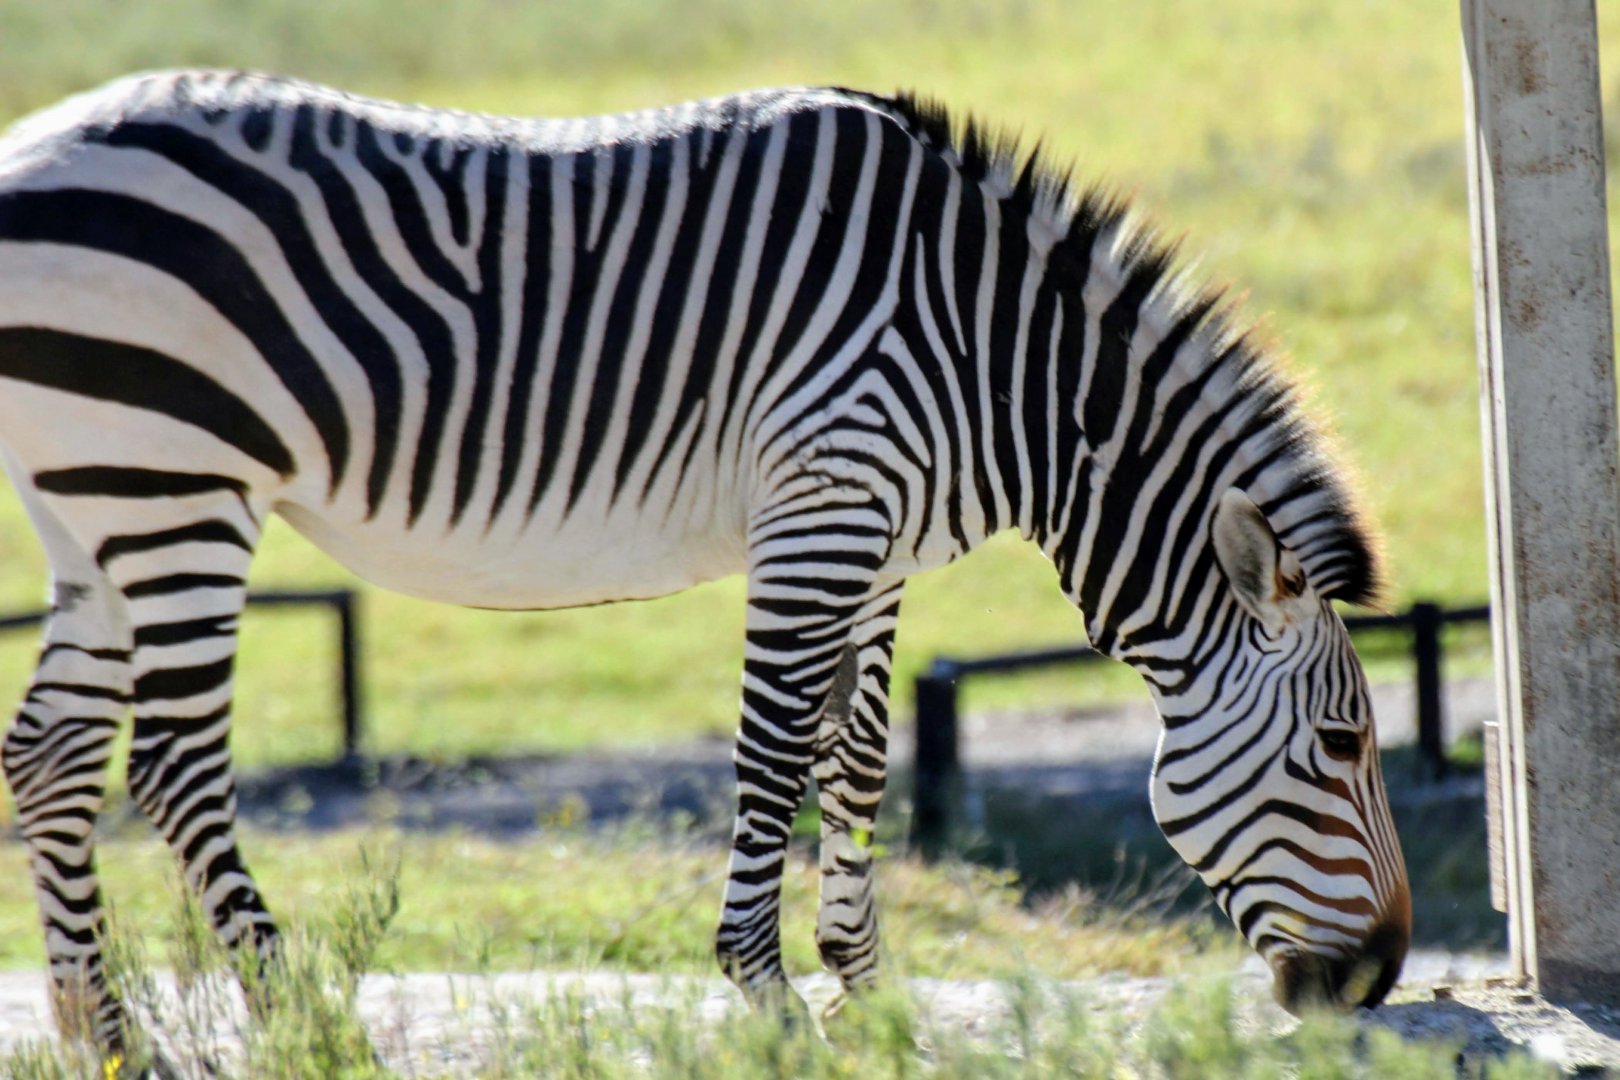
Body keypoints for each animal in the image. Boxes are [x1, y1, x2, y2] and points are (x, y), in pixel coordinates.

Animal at [0, 69, 1410, 1063]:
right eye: (1343, 745)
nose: (1384, 979)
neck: (1000, 364)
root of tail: (31, 148)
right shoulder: (824, 507)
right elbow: (774, 749)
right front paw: (766, 993)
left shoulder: (879, 545)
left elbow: (857, 755)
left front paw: (868, 997)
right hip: (175, 483)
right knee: (175, 766)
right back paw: (306, 1022)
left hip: (95, 506)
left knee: (52, 754)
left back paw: (104, 1040)